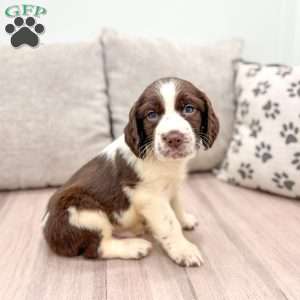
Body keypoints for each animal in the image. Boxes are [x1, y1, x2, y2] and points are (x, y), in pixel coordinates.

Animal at [42, 77, 218, 268]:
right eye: (151, 115)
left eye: (189, 109)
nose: (173, 138)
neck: (163, 162)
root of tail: (47, 231)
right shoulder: (150, 197)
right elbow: (169, 223)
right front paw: (184, 250)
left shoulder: (173, 185)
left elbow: (177, 205)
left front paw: (185, 220)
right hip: (82, 211)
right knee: (97, 248)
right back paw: (135, 247)